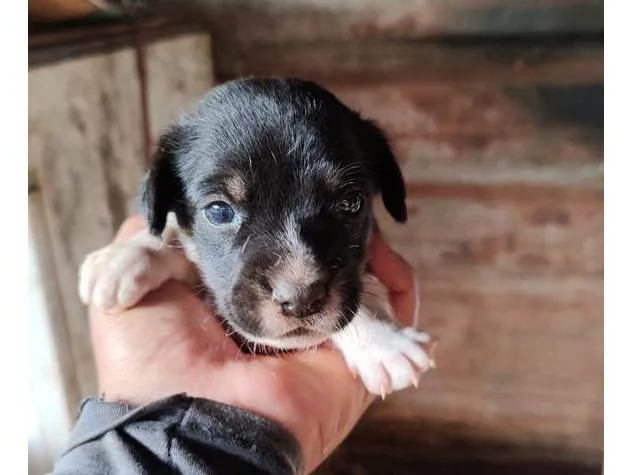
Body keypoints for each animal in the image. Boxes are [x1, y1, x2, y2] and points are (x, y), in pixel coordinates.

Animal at [78, 79, 434, 398]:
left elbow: (363, 290)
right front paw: (121, 258)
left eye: (351, 202)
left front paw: (383, 341)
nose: (300, 300)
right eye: (219, 211)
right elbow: (171, 233)